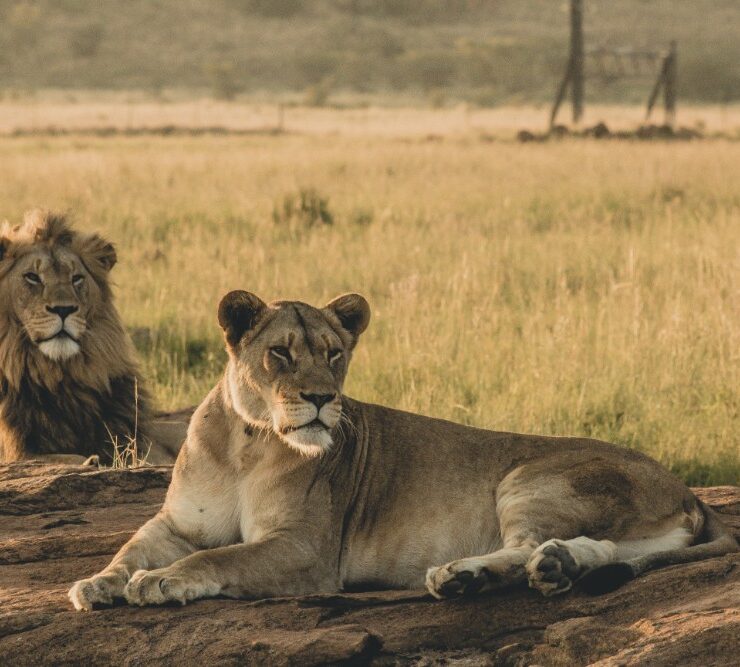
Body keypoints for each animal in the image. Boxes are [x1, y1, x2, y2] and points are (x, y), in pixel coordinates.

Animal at [0, 209, 189, 466]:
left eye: (77, 278)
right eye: (32, 277)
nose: (64, 309)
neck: (60, 377)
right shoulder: (19, 452)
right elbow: (59, 457)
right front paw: (89, 461)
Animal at [69, 290, 737, 610]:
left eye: (335, 354)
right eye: (280, 353)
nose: (322, 398)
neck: (247, 442)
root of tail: (687, 490)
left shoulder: (307, 551)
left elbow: (220, 558)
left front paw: (163, 582)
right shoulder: (176, 522)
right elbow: (130, 549)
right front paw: (96, 584)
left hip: (528, 477)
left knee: (525, 545)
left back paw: (463, 576)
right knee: (595, 550)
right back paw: (555, 568)